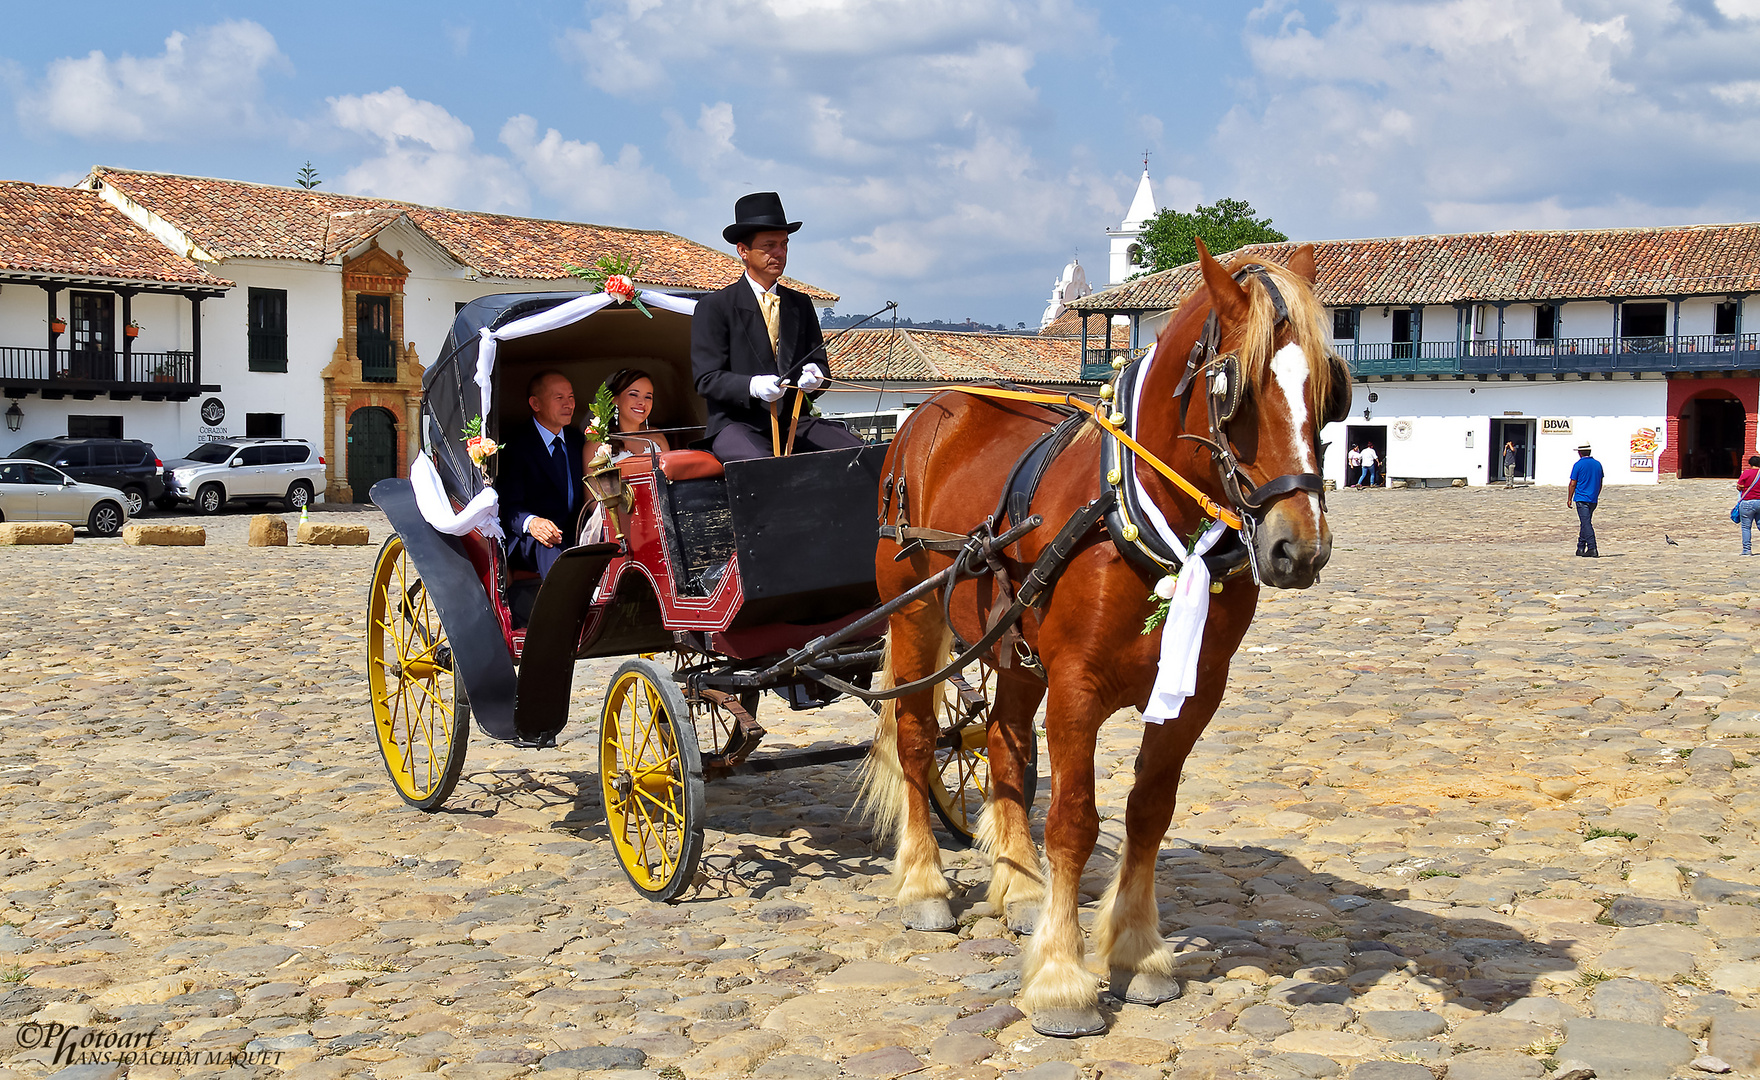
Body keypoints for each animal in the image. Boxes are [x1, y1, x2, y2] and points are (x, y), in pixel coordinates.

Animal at [858, 240, 1337, 1034]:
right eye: (1232, 390)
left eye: (1333, 393)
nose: (1299, 549)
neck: (1140, 517)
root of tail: (928, 411)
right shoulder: (1076, 686)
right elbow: (1075, 821)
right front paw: (1062, 978)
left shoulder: (1193, 695)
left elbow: (1148, 812)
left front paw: (1137, 952)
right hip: (914, 615)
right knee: (918, 739)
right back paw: (926, 885)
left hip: (1014, 647)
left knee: (1003, 746)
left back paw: (1020, 888)